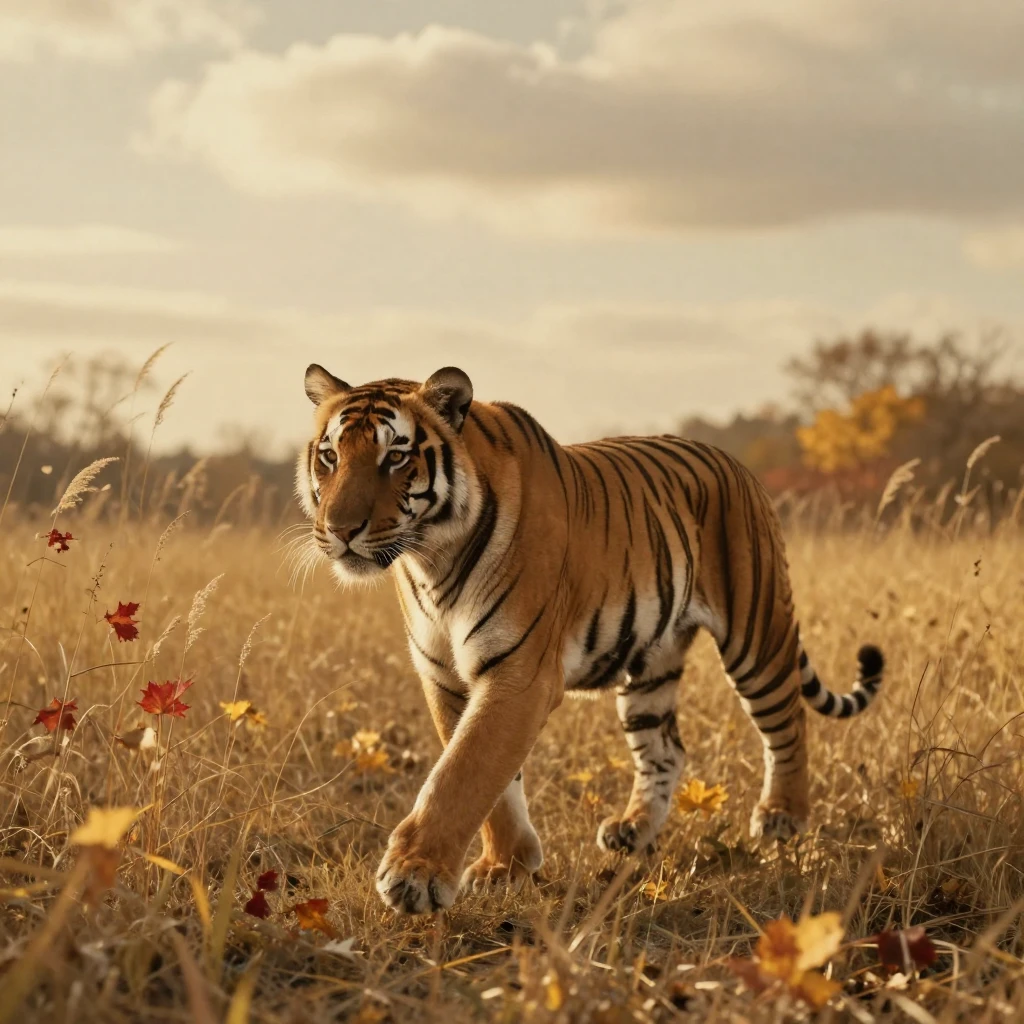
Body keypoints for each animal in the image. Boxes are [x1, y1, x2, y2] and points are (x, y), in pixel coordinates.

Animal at [296, 363, 884, 916]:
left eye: (395, 457)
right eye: (329, 456)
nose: (340, 529)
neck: (431, 560)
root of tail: (736, 463)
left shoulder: (520, 672)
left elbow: (463, 771)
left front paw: (414, 875)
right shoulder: (445, 677)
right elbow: (491, 781)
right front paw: (506, 866)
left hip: (756, 632)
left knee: (788, 722)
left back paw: (783, 816)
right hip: (650, 664)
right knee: (666, 750)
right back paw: (633, 828)